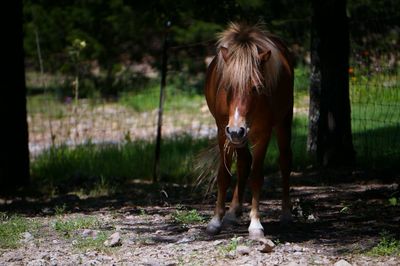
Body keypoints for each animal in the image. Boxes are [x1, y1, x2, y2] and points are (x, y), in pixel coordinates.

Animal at [203, 23, 294, 239]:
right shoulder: (223, 132)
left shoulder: (262, 134)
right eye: (227, 87)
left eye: (256, 87)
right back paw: (232, 213)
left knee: (285, 162)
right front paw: (215, 221)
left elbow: (257, 176)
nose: (237, 130)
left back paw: (286, 214)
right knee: (244, 163)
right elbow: (224, 175)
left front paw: (255, 224)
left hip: (283, 123)